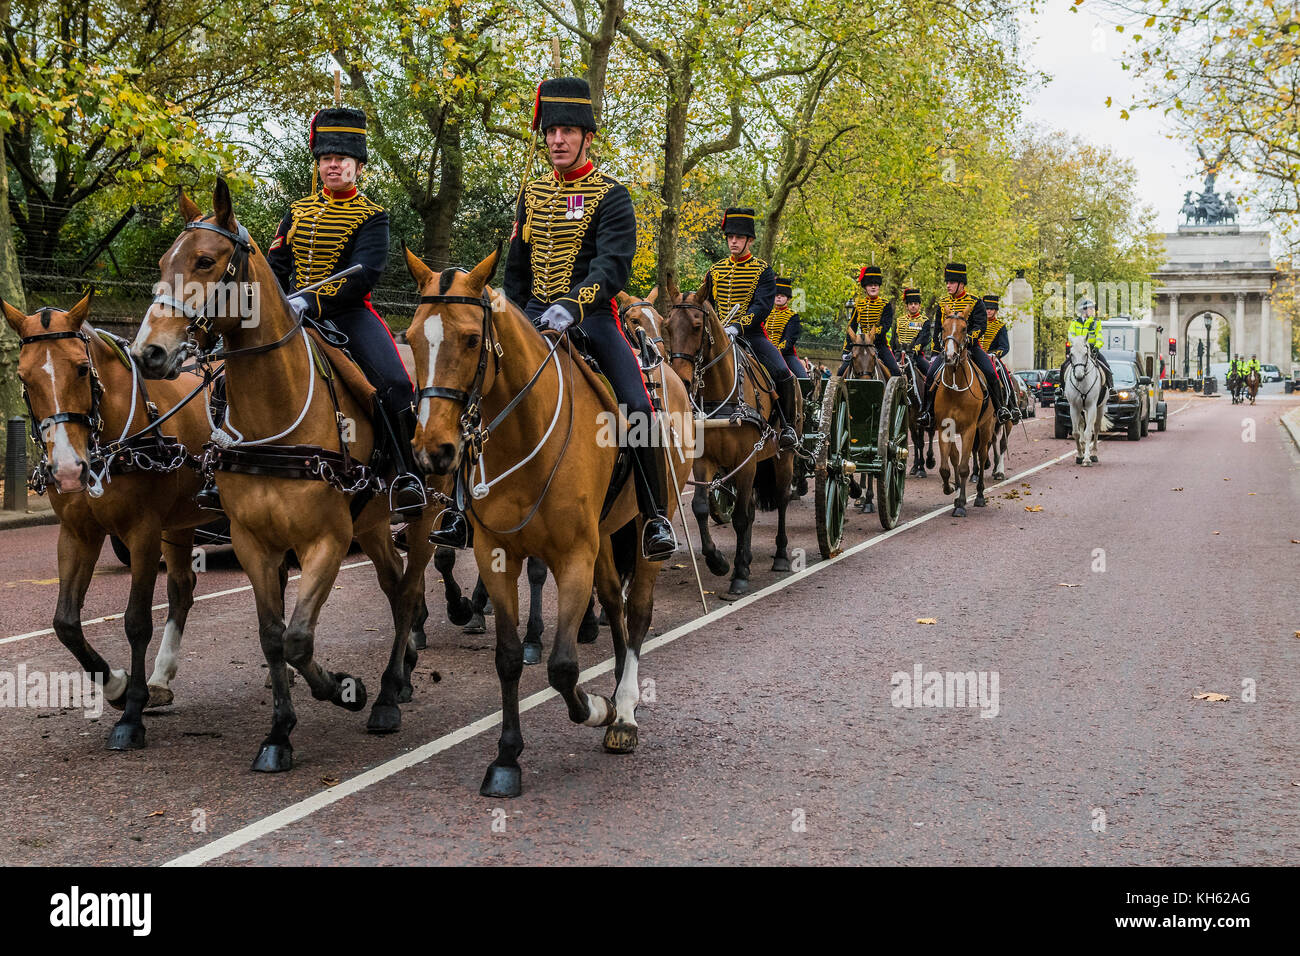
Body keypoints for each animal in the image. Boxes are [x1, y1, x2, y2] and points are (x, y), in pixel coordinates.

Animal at [2, 291, 209, 749]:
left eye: (82, 368)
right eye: (23, 376)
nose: (66, 470)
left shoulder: (143, 531)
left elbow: (136, 621)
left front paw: (131, 714)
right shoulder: (78, 533)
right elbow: (65, 623)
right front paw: (116, 685)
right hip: (181, 522)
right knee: (182, 588)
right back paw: (161, 678)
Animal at [133, 183, 431, 775]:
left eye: (205, 261)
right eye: (162, 263)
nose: (148, 353)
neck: (278, 406)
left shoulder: (327, 541)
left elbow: (298, 638)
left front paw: (345, 688)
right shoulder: (255, 541)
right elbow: (273, 638)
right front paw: (278, 733)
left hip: (420, 516)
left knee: (409, 590)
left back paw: (387, 697)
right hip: (373, 523)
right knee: (394, 584)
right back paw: (403, 673)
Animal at [405, 248, 696, 801]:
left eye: (471, 338)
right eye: (410, 338)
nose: (435, 450)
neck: (525, 429)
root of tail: (669, 376)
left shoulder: (573, 556)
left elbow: (562, 667)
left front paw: (596, 707)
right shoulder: (497, 555)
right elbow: (508, 657)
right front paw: (506, 759)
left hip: (649, 526)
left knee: (638, 611)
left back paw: (624, 713)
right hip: (605, 534)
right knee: (616, 606)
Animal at [665, 278, 795, 598]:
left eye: (697, 325)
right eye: (667, 325)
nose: (681, 381)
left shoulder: (745, 461)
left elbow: (739, 518)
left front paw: (738, 576)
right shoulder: (705, 460)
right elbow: (701, 508)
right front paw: (718, 561)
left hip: (782, 458)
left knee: (782, 500)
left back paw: (781, 556)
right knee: (749, 508)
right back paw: (745, 557)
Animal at [935, 314, 993, 515]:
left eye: (964, 328)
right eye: (943, 327)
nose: (950, 356)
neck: (955, 388)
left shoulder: (969, 429)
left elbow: (963, 468)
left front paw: (960, 503)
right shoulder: (944, 428)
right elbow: (945, 467)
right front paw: (949, 488)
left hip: (985, 428)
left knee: (982, 456)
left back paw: (980, 495)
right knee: (955, 456)